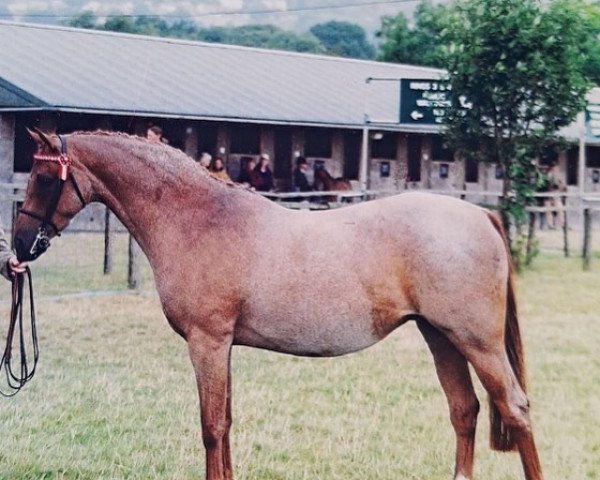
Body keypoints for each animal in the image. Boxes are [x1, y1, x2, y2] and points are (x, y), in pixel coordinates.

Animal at [15, 130, 544, 480]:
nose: (18, 245)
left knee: (515, 408)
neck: (198, 218)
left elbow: (211, 427)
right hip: (440, 336)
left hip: (477, 342)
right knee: (465, 409)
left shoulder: (208, 343)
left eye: (43, 176)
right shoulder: (223, 346)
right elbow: (226, 423)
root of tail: (480, 215)